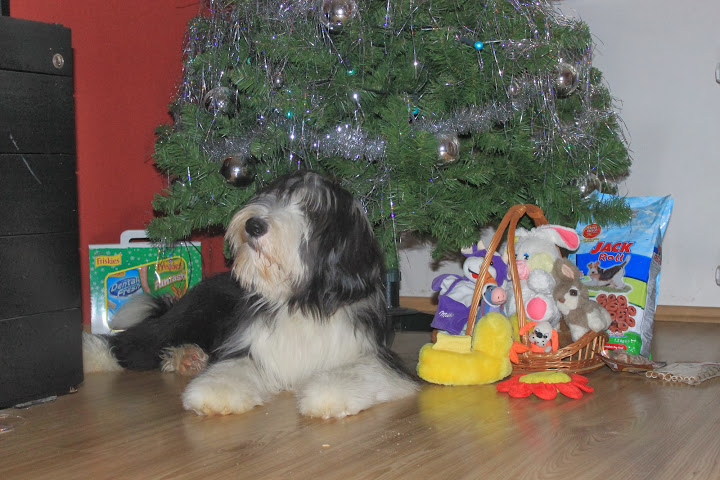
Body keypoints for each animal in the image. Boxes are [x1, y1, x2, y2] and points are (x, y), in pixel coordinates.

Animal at [83, 170, 418, 418]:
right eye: (274, 195)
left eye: (311, 209)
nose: (253, 224)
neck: (298, 303)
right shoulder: (251, 345)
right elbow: (234, 366)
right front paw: (216, 393)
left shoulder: (373, 354)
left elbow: (357, 372)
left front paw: (327, 394)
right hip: (190, 316)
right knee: (131, 343)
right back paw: (92, 354)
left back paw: (187, 358)